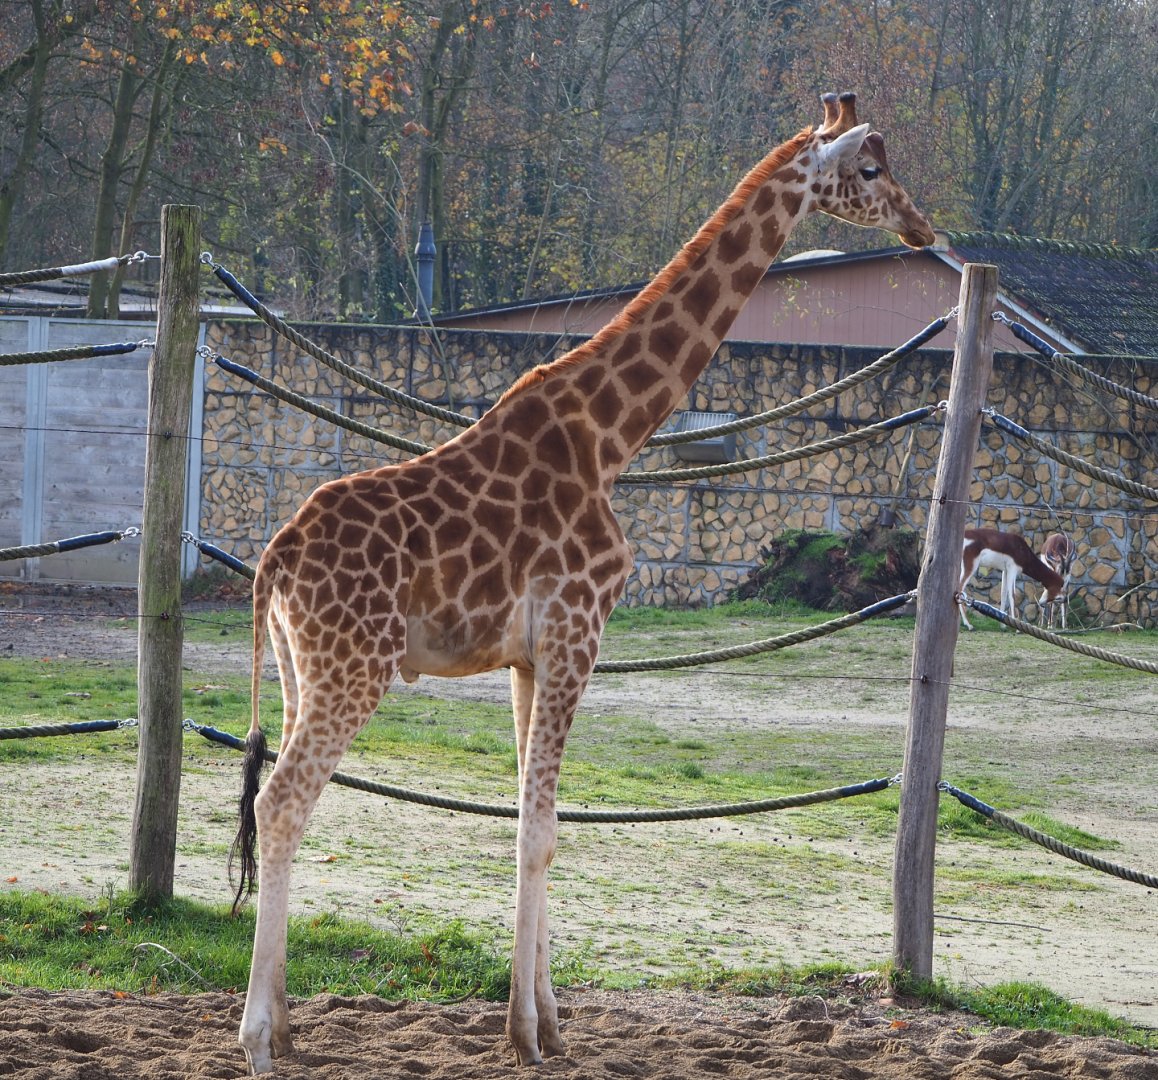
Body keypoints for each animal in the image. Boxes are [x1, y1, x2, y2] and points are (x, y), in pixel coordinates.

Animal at [230, 91, 935, 1075]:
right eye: (870, 168)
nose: (922, 226)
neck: (611, 435)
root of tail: (275, 560)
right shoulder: (577, 633)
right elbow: (542, 831)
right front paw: (526, 1033)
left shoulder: (528, 658)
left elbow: (541, 823)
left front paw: (548, 1020)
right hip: (353, 670)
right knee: (282, 802)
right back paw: (257, 1038)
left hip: (302, 671)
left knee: (280, 804)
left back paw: (289, 1023)